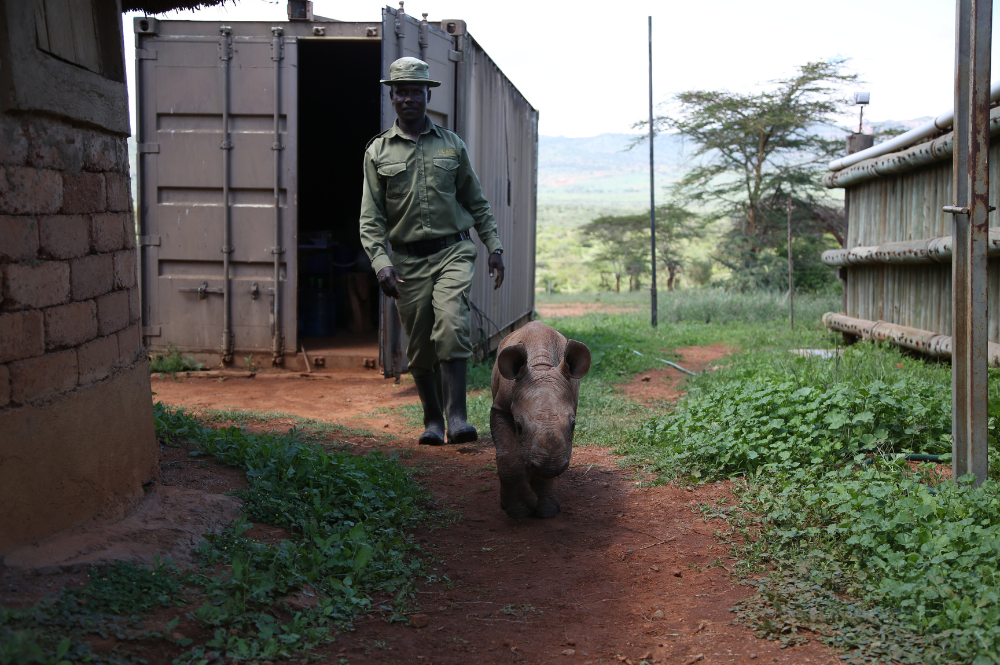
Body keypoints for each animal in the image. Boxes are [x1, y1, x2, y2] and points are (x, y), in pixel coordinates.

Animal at [488, 322, 588, 520]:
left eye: (573, 425)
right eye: (519, 427)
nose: (551, 466)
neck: (541, 367)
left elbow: (542, 471)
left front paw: (546, 511)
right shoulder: (500, 408)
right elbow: (509, 454)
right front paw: (516, 511)